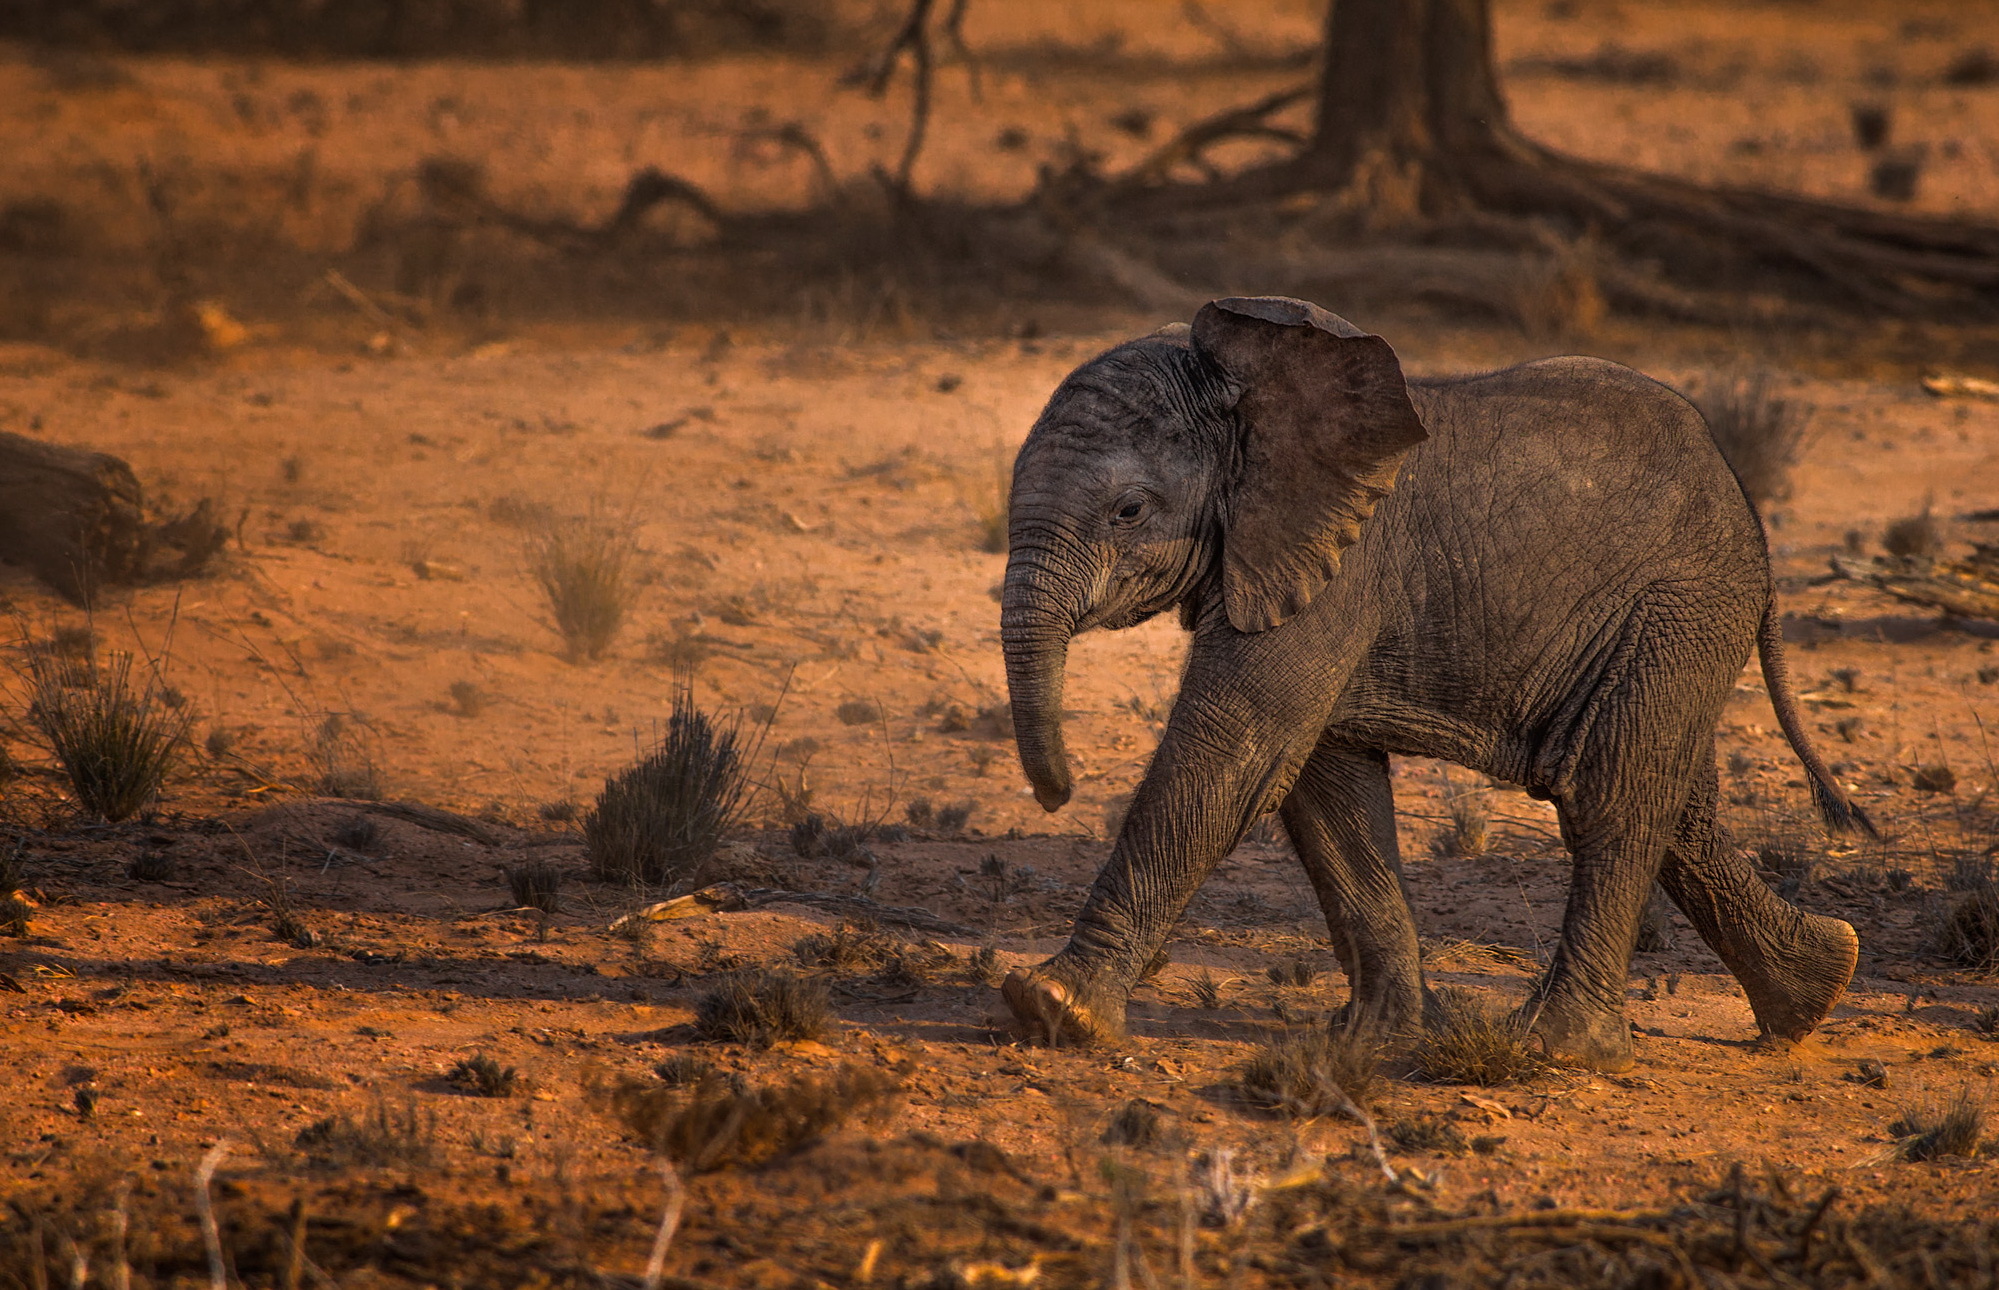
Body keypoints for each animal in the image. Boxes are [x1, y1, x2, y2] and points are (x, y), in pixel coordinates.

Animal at [1007, 294, 1863, 1064]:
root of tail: (1750, 517)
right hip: (1670, 631)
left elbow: (1232, 757)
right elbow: (1325, 788)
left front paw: (1054, 1008)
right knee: (1678, 804)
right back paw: (1815, 989)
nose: (1058, 793)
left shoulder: (1342, 566)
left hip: (1676, 609)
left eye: (1127, 511)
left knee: (1608, 795)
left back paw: (1558, 1049)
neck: (1248, 386)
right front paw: (1375, 1041)